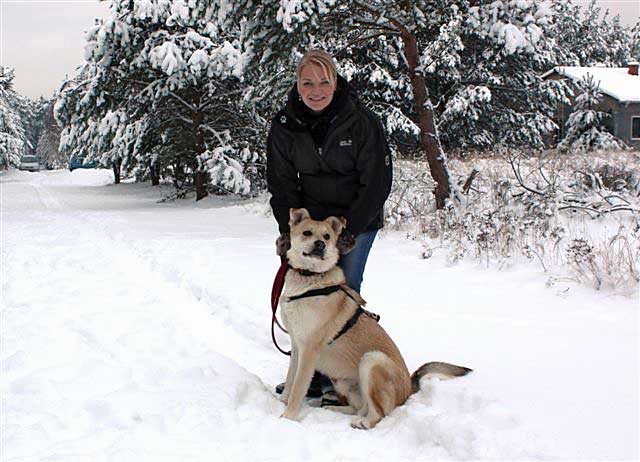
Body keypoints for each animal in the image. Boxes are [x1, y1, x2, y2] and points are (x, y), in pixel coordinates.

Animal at [278, 208, 472, 430]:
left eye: (327, 236)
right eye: (307, 233)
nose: (321, 245)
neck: (310, 280)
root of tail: (408, 387)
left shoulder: (309, 349)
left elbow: (298, 387)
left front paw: (288, 417)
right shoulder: (297, 344)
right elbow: (291, 378)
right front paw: (282, 401)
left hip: (372, 361)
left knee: (377, 413)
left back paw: (362, 423)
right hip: (343, 381)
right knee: (360, 408)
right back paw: (335, 409)